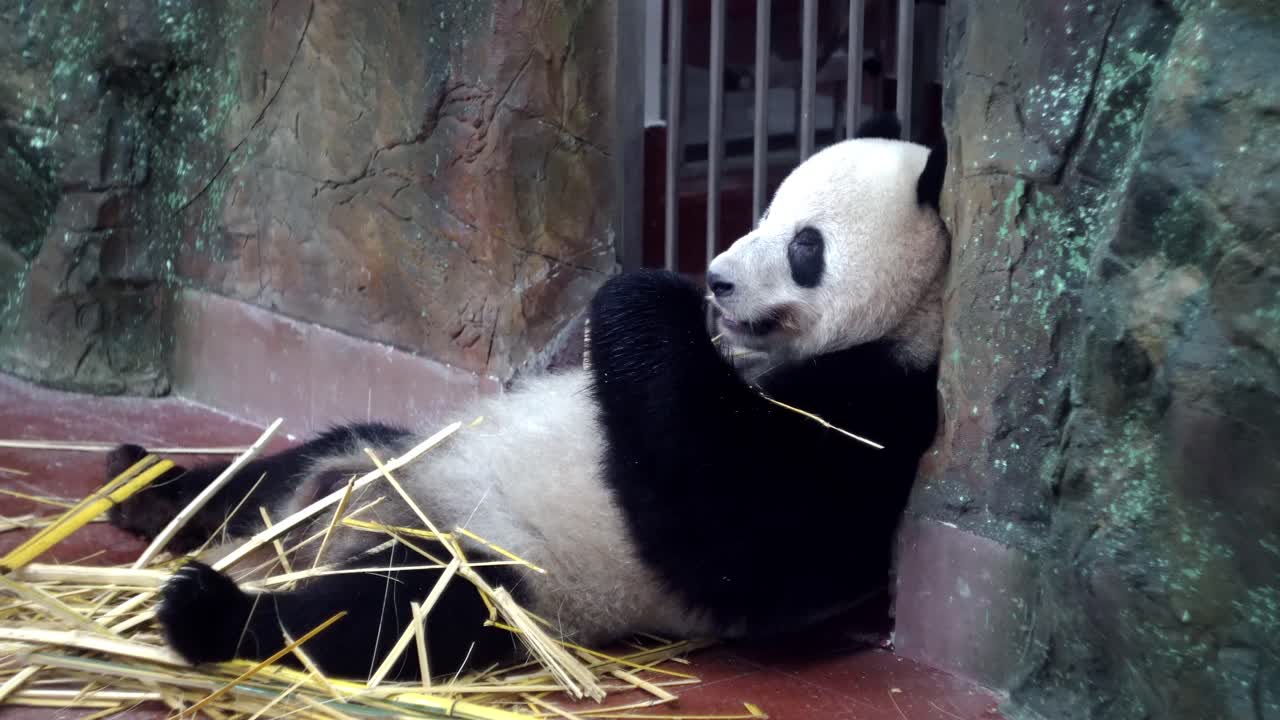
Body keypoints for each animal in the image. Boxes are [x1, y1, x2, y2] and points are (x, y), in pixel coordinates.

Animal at [103, 112, 949, 682]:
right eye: (764, 211)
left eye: (806, 246)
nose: (718, 280)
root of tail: (329, 529)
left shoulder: (878, 420)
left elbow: (737, 526)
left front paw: (642, 295)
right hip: (390, 450)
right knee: (277, 469)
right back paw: (144, 486)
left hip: (498, 565)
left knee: (390, 614)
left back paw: (210, 612)